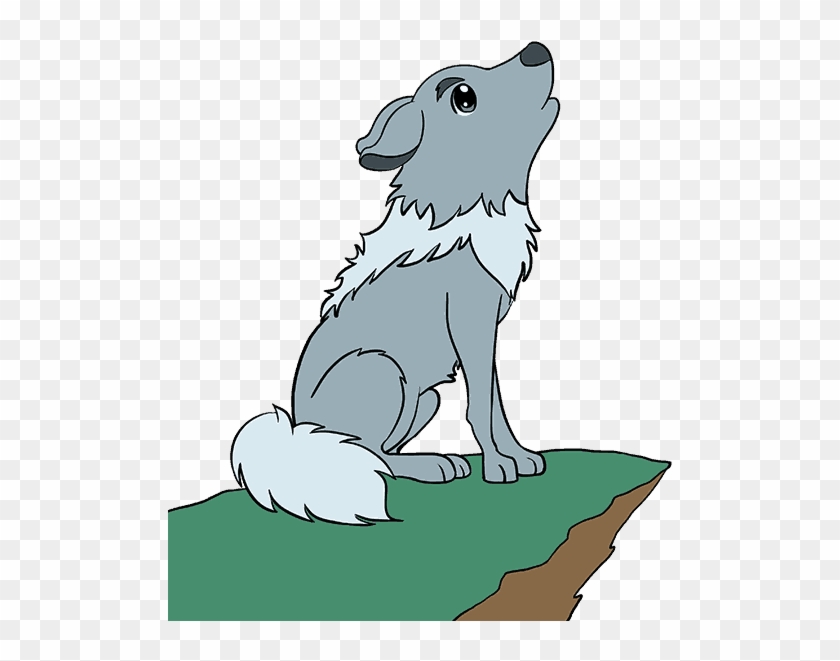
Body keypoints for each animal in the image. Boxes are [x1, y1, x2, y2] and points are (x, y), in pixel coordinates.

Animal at [230, 42, 560, 524]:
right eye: (464, 97)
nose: (536, 50)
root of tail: (298, 434)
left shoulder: (486, 333)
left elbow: (496, 402)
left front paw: (518, 456)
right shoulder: (470, 324)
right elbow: (481, 405)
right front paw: (498, 467)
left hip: (425, 398)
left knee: (378, 451)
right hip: (384, 370)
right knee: (371, 455)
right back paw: (434, 466)